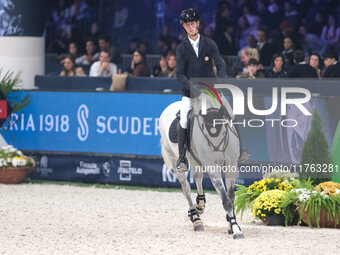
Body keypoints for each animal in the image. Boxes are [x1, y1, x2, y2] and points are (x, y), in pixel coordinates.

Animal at [159, 91, 244, 239]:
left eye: (224, 130)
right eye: (204, 129)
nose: (217, 153)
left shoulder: (231, 166)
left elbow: (231, 197)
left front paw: (231, 224)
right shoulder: (212, 168)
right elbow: (226, 200)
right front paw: (235, 229)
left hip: (196, 161)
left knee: (198, 178)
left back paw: (200, 204)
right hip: (175, 159)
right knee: (186, 189)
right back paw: (196, 218)